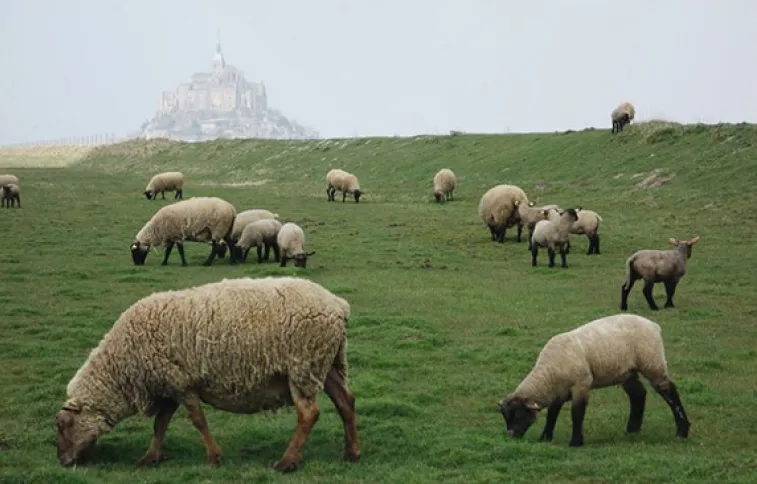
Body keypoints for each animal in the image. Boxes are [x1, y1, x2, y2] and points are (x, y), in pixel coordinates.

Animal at [54, 276, 360, 472]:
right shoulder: (168, 384)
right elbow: (160, 425)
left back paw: (288, 462)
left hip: (303, 365)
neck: (122, 370)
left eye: (63, 425)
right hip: (327, 363)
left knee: (308, 414)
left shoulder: (180, 383)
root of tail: (338, 305)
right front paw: (150, 458)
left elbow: (198, 421)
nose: (63, 462)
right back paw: (351, 453)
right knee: (346, 402)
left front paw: (213, 458)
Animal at [497, 313, 691, 447]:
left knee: (669, 391)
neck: (549, 372)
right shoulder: (559, 392)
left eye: (519, 414)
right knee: (638, 394)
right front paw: (545, 438)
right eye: (506, 416)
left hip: (652, 362)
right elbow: (552, 414)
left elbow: (577, 414)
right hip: (627, 371)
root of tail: (653, 325)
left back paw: (682, 430)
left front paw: (575, 442)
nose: (511, 436)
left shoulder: (581, 385)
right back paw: (632, 429)